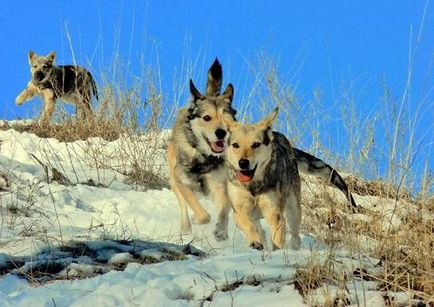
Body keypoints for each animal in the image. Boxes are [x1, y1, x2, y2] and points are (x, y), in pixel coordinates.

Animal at [167, 57, 236, 241]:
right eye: (206, 118)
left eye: (228, 119)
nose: (221, 132)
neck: (203, 156)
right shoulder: (181, 181)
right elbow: (203, 214)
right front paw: (196, 219)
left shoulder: (218, 184)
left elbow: (223, 210)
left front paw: (221, 231)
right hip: (173, 181)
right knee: (183, 207)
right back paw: (186, 228)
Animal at [222, 107, 300, 250]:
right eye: (235, 145)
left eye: (256, 144)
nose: (243, 162)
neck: (253, 186)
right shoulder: (240, 208)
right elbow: (250, 226)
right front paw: (255, 242)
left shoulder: (273, 210)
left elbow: (278, 234)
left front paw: (278, 250)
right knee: (260, 229)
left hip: (294, 209)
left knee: (295, 234)